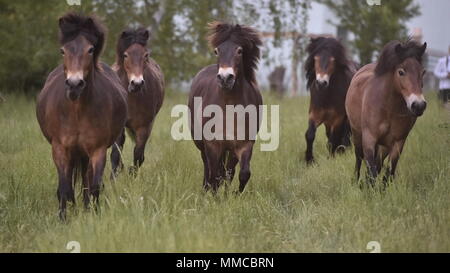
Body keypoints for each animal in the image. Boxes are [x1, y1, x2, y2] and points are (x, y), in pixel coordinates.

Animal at [35, 13, 127, 220]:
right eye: (63, 51)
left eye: (90, 49)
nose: (74, 84)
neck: (77, 111)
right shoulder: (60, 148)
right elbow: (64, 187)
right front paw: (63, 218)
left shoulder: (97, 150)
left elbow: (94, 186)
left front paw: (93, 214)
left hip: (85, 154)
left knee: (86, 179)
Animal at [111, 27, 165, 176]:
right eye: (125, 55)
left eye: (145, 55)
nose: (137, 83)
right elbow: (115, 153)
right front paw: (114, 177)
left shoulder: (144, 126)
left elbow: (138, 155)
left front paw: (132, 175)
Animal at [187, 21, 264, 191]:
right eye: (217, 51)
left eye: (239, 50)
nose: (225, 78)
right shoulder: (212, 145)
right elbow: (214, 175)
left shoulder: (244, 144)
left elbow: (241, 173)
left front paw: (232, 194)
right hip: (202, 144)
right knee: (208, 168)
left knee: (227, 171)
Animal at [346, 39, 428, 184]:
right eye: (401, 72)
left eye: (422, 72)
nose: (418, 105)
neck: (389, 109)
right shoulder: (369, 138)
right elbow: (371, 169)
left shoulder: (398, 142)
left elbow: (388, 172)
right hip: (357, 133)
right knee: (359, 157)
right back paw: (355, 180)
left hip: (384, 146)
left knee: (378, 163)